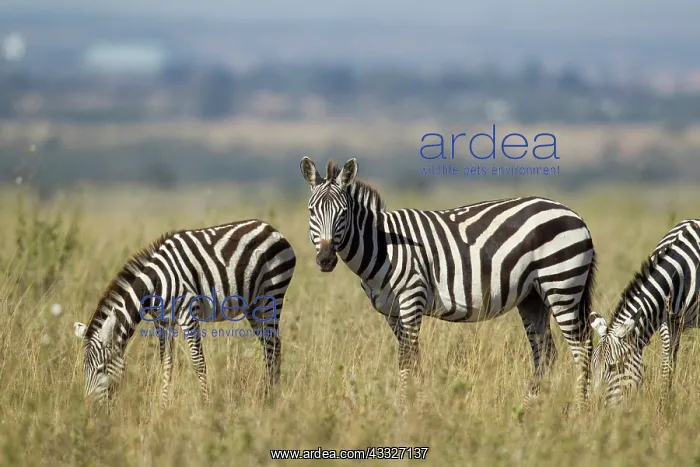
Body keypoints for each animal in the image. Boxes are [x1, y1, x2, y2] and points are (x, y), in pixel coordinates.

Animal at [72, 219, 297, 407]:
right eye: (84, 369)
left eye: (101, 368)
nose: (89, 409)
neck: (155, 284)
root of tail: (270, 228)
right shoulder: (163, 322)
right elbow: (166, 363)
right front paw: (163, 407)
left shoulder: (189, 315)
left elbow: (198, 362)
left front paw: (205, 405)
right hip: (253, 306)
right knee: (271, 345)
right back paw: (271, 394)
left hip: (271, 295)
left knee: (273, 346)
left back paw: (269, 397)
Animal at [299, 157, 598, 409]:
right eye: (312, 211)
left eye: (343, 213)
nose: (325, 259)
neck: (384, 245)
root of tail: (576, 215)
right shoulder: (391, 311)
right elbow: (412, 358)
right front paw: (416, 405)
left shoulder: (412, 297)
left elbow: (406, 359)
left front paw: (406, 411)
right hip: (533, 297)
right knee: (545, 353)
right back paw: (528, 410)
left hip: (561, 286)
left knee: (581, 350)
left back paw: (580, 412)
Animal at [590, 219, 700, 405]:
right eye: (593, 364)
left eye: (614, 366)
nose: (594, 405)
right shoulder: (666, 320)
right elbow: (667, 363)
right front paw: (664, 404)